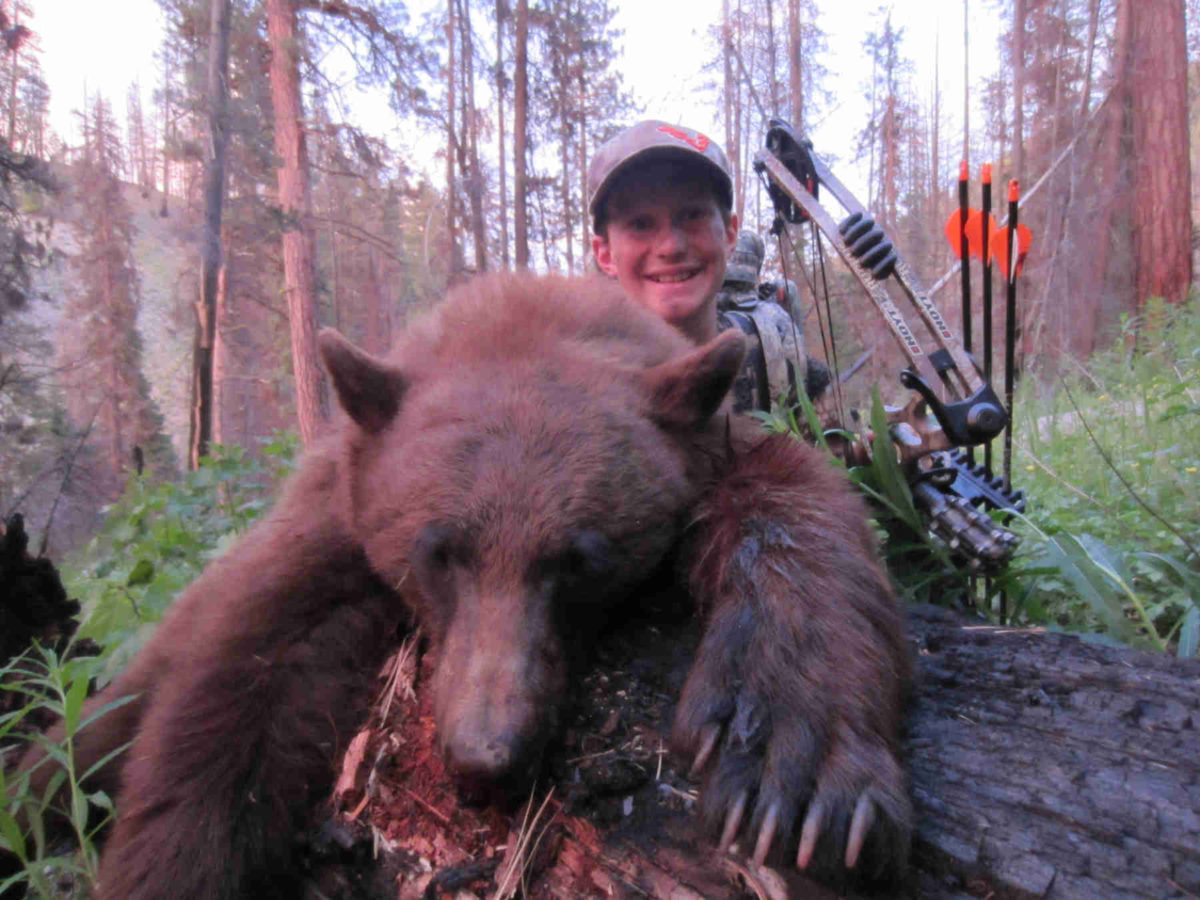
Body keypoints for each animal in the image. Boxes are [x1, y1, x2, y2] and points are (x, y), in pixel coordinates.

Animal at [18, 272, 911, 898]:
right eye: (437, 552)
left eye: (580, 561)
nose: (486, 757)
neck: (522, 320)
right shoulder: (335, 518)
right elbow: (231, 694)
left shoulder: (714, 439)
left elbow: (803, 498)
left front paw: (789, 769)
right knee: (94, 731)